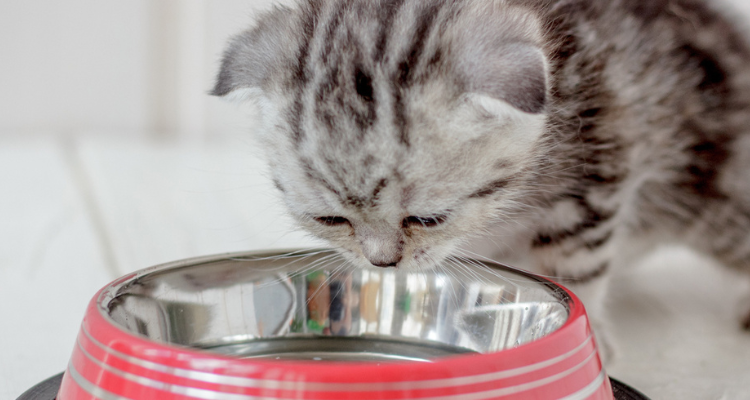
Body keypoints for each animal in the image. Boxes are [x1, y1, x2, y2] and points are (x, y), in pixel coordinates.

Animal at [212, 0, 750, 358]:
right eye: (330, 219)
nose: (383, 263)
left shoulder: (593, 182)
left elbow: (578, 270)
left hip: (711, 198)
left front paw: (594, 336)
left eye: (428, 218)